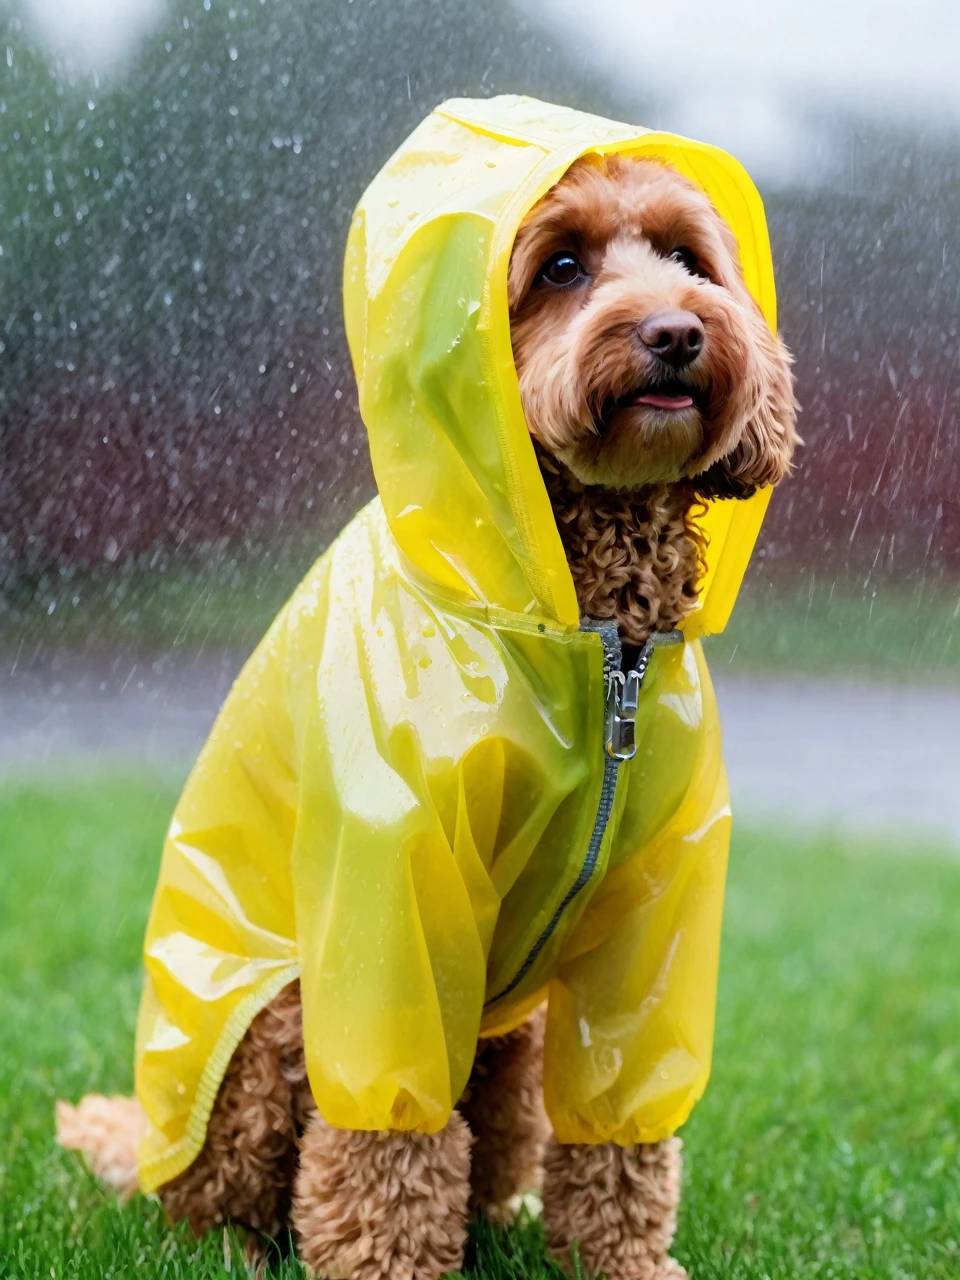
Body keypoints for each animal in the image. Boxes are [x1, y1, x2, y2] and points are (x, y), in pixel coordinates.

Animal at [56, 152, 798, 1280]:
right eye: (563, 267)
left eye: (686, 258)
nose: (676, 331)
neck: (590, 638)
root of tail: (143, 1141)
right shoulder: (389, 887)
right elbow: (386, 1143)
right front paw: (391, 1264)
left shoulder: (658, 896)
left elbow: (621, 1126)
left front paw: (623, 1263)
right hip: (272, 1025)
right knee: (216, 1201)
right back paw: (234, 1246)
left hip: (513, 1047)